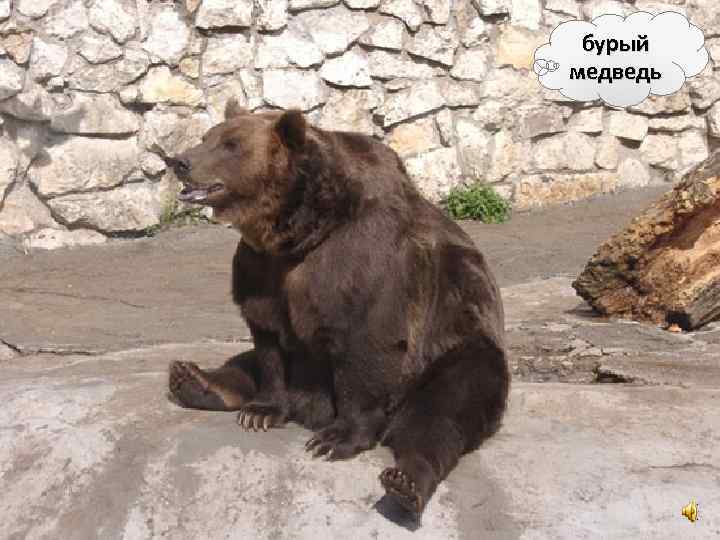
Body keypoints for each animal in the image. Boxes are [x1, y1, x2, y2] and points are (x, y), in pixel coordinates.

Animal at [167, 100, 510, 521]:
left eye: (231, 145)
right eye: (207, 137)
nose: (180, 161)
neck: (297, 232)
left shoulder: (360, 262)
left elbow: (364, 348)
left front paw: (335, 438)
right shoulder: (261, 271)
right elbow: (267, 343)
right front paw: (260, 412)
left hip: (458, 350)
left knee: (441, 415)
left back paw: (406, 482)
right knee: (242, 363)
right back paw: (194, 380)